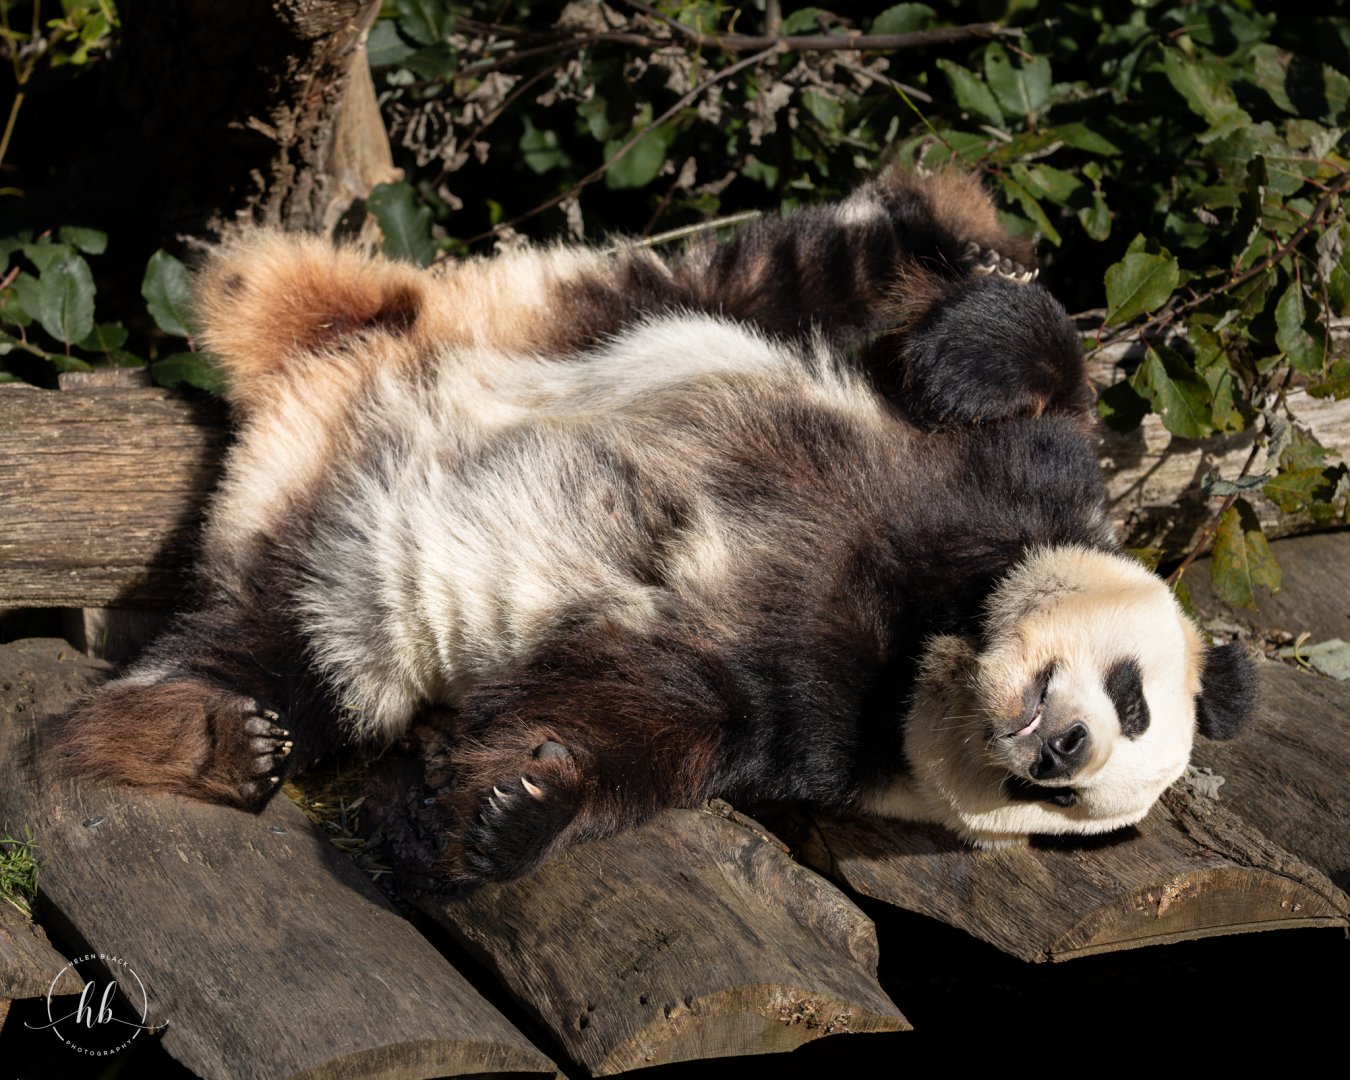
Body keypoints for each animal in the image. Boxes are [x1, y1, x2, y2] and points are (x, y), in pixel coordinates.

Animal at [52, 164, 1258, 885]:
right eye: (1130, 698)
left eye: (1062, 802)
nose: (1059, 748)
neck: (931, 639)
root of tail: (328, 381)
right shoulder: (1006, 493)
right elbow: (1038, 385)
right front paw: (977, 344)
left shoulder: (811, 721)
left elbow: (645, 713)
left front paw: (503, 812)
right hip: (643, 305)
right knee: (808, 260)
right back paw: (963, 228)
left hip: (334, 566)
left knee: (279, 651)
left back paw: (210, 736)